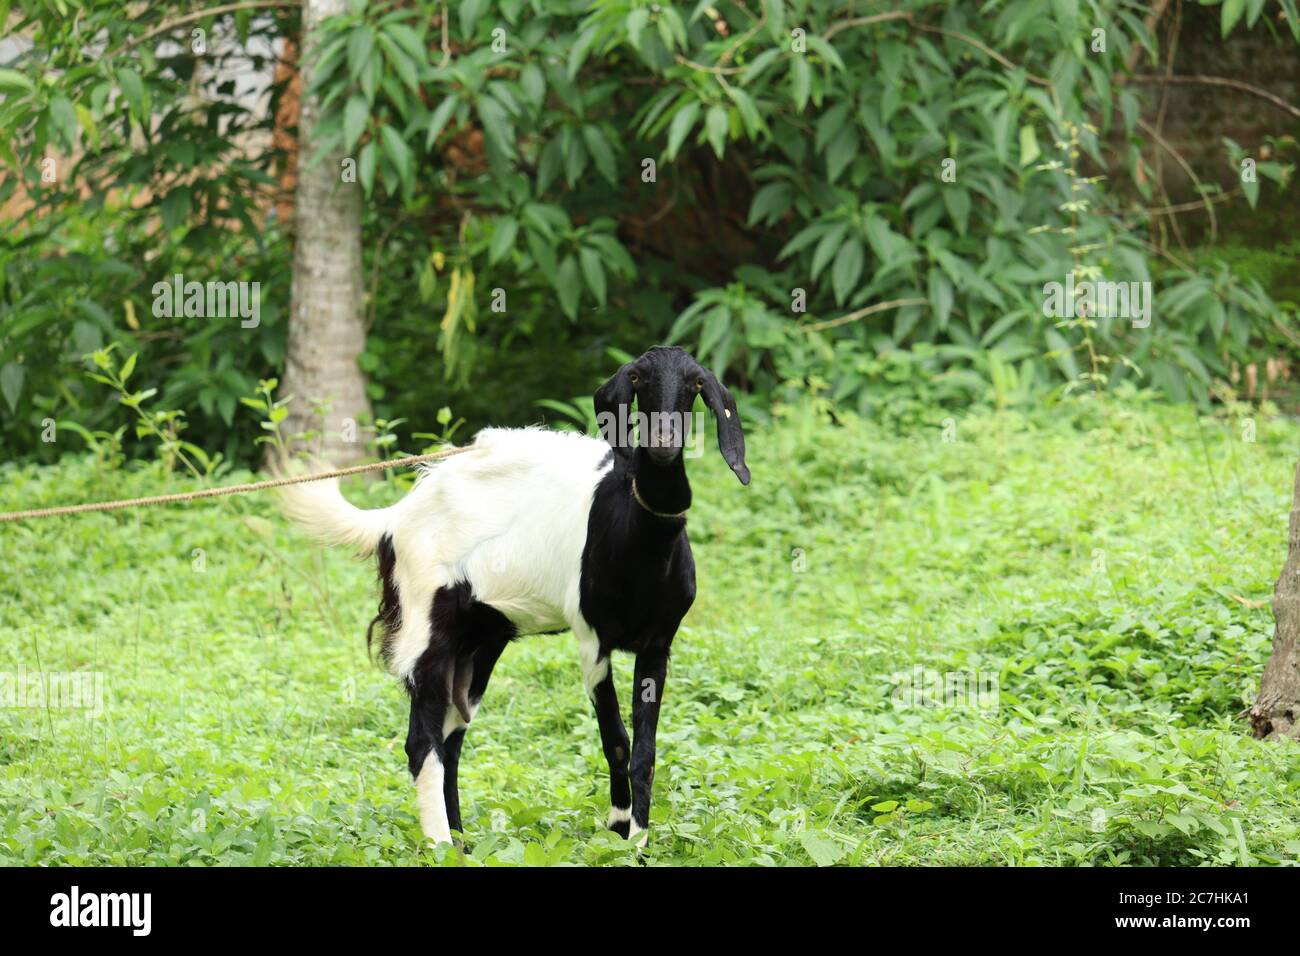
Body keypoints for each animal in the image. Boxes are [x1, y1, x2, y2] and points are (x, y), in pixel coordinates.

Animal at [282, 348, 754, 848]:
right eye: (637, 379)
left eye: (696, 384)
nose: (663, 443)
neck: (637, 534)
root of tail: (396, 517)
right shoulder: (591, 642)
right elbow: (616, 740)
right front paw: (617, 830)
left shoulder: (658, 645)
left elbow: (644, 751)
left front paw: (638, 843)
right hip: (426, 630)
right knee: (422, 742)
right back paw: (442, 845)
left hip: (480, 642)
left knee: (451, 736)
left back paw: (463, 842)